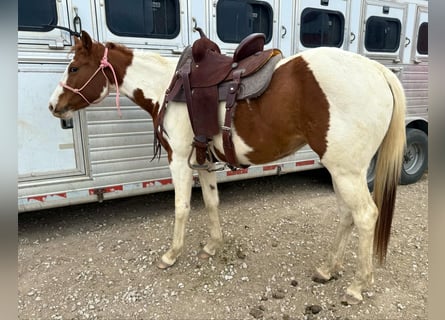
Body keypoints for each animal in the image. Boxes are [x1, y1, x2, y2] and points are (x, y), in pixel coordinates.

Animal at [49, 31, 406, 304]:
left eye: (74, 67)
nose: (54, 106)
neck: (166, 86)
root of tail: (377, 70)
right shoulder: (203, 160)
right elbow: (211, 202)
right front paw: (212, 245)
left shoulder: (179, 159)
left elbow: (181, 207)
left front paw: (171, 255)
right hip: (342, 170)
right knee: (347, 215)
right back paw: (328, 268)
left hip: (346, 171)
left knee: (365, 216)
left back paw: (358, 285)